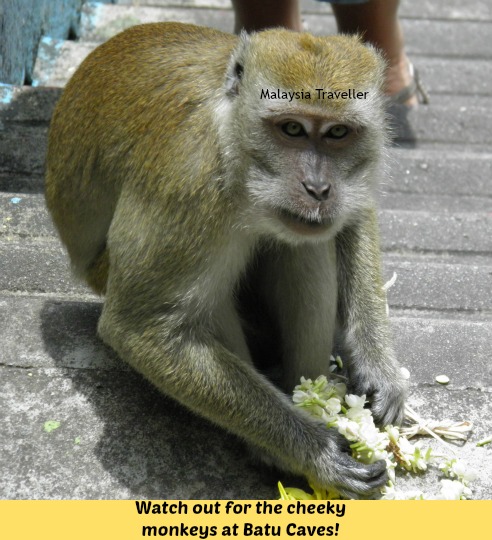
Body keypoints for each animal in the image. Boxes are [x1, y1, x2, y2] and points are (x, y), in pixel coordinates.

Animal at [45, 23, 408, 500]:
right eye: (292, 128)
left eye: (337, 133)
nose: (317, 188)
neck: (232, 134)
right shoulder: (187, 180)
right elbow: (139, 328)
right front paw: (318, 452)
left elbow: (352, 212)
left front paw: (376, 365)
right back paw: (278, 448)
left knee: (305, 244)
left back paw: (306, 390)